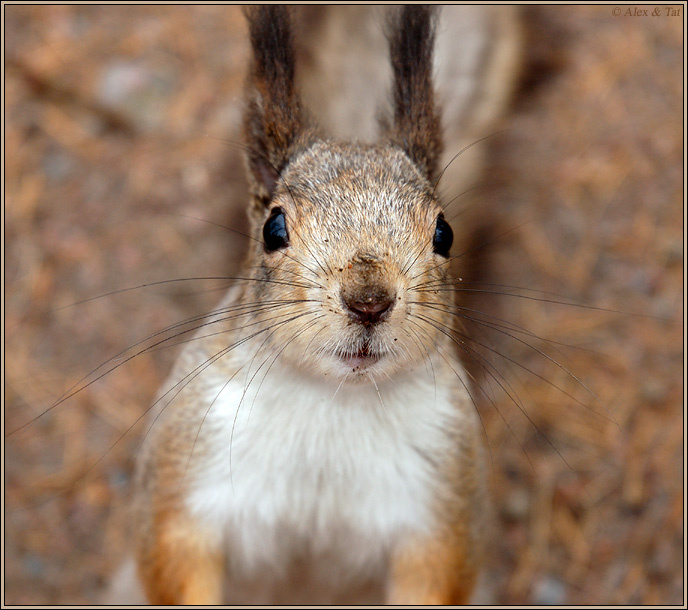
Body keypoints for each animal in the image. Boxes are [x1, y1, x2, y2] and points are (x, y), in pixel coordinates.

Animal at [109, 5, 521, 605]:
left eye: (444, 233)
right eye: (273, 228)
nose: (369, 301)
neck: (335, 400)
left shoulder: (443, 495)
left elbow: (440, 574)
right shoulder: (187, 468)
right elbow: (171, 555)